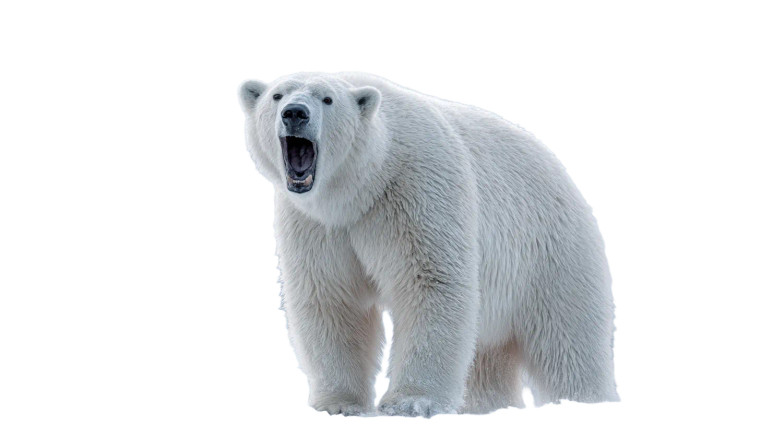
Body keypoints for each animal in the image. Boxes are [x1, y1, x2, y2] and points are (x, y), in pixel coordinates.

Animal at [238, 72, 619, 417]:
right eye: (277, 95)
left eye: (327, 99)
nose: (295, 112)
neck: (362, 187)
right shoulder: (317, 225)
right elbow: (331, 297)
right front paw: (338, 404)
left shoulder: (417, 187)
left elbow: (431, 282)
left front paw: (410, 402)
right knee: (488, 356)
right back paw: (484, 406)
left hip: (549, 252)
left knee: (569, 341)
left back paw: (586, 401)